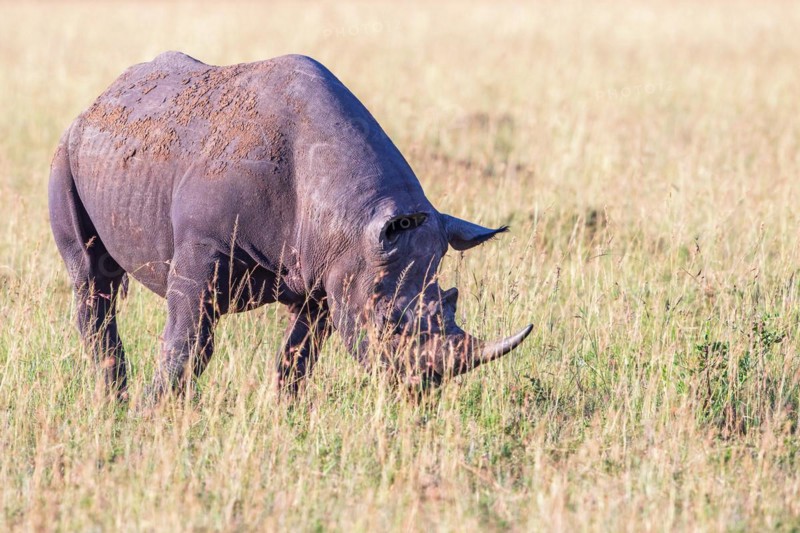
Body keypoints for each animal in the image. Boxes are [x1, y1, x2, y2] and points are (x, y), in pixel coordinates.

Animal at [48, 51, 532, 404]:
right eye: (388, 321)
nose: (422, 389)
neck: (352, 216)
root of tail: (100, 99)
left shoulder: (330, 271)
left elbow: (298, 355)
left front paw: (286, 413)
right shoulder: (203, 244)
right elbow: (189, 341)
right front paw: (152, 413)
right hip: (67, 149)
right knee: (91, 279)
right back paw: (113, 401)